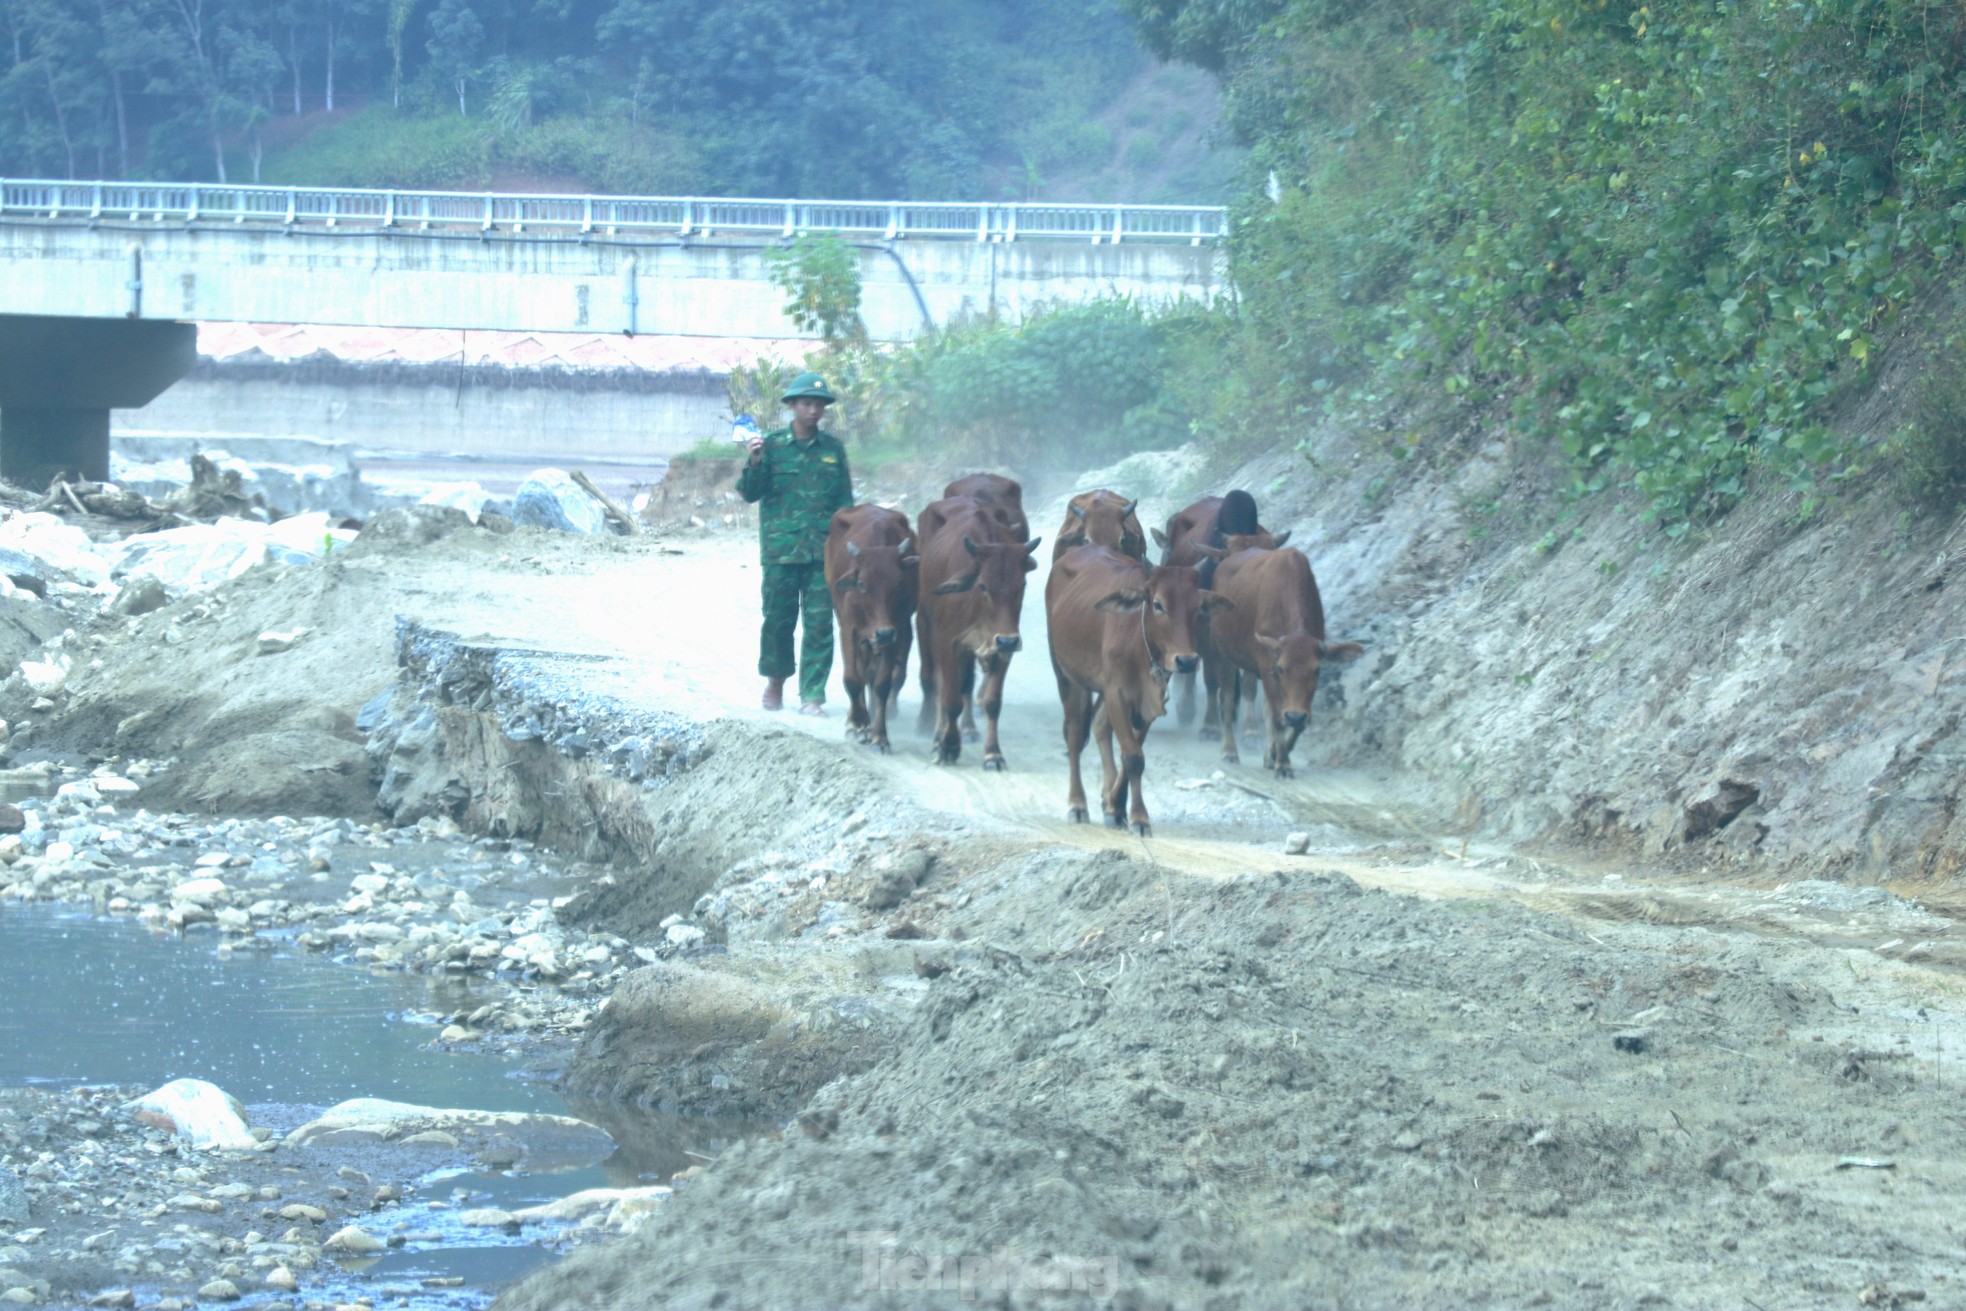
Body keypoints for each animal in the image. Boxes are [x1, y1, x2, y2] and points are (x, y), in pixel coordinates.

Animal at [829, 503, 920, 754]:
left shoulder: (896, 631)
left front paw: (879, 736)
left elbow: (881, 684)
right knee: (860, 672)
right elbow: (852, 678)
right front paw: (858, 723)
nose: (883, 632)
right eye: (861, 584)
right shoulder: (849, 629)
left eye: (899, 583)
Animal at [920, 499, 1045, 770]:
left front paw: (992, 754)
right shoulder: (948, 643)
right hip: (928, 628)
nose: (1007, 640)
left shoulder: (1003, 649)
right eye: (983, 585)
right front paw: (948, 747)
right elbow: (951, 699)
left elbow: (992, 702)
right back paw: (937, 737)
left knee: (966, 684)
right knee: (940, 685)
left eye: (1022, 585)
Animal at [1045, 546, 1226, 837]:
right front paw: (1138, 818)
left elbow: (1132, 754)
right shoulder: (1117, 694)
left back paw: (1105, 794)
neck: (1140, 645)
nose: (1186, 661)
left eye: (1197, 607)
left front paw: (1116, 808)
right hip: (1065, 674)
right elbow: (1132, 757)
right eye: (1158, 604)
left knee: (1099, 725)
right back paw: (1077, 804)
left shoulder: (1148, 701)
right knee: (1074, 735)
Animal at [1203, 542, 1360, 778]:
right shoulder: (1267, 664)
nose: (1295, 716)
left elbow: (1291, 721)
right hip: (1222, 655)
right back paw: (1229, 751)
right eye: (1281, 669)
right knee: (1227, 700)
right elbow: (1277, 716)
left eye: (1317, 671)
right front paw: (1283, 764)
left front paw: (1276, 753)